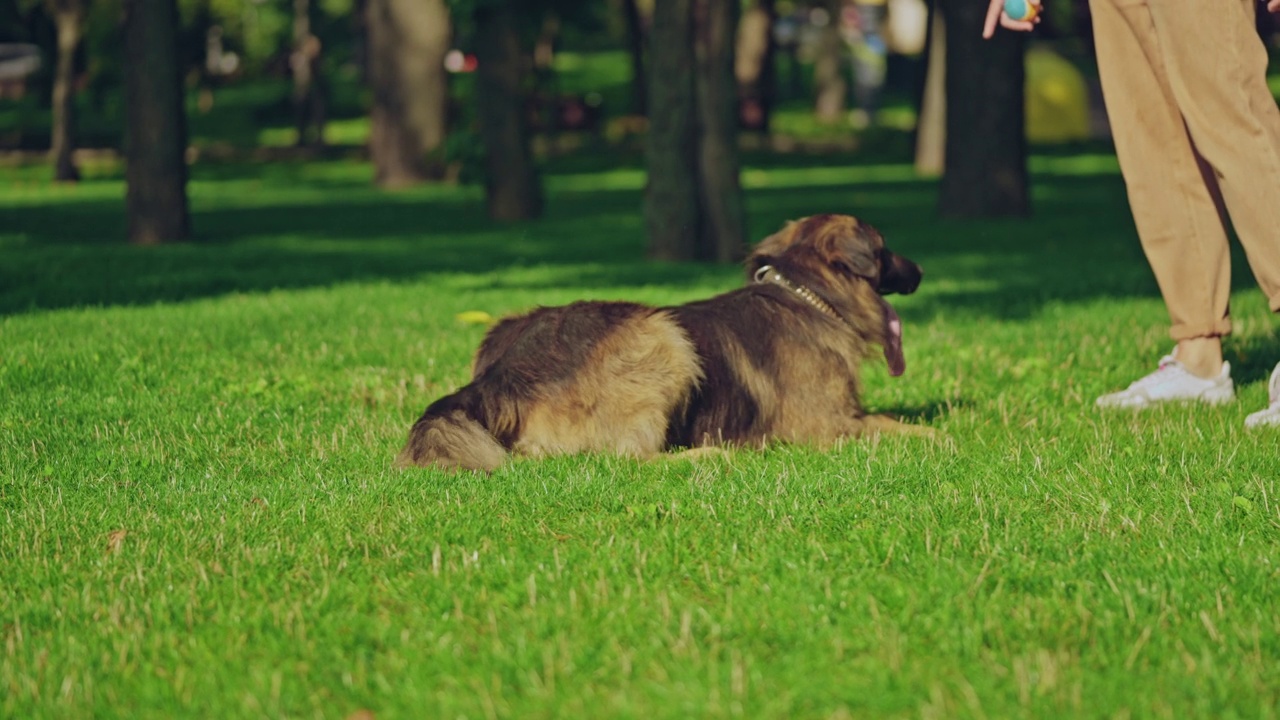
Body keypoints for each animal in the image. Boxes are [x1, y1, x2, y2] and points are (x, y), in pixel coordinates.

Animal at [394, 212, 926, 471]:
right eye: (885, 250)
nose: (920, 270)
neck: (806, 293)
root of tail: (503, 372)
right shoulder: (825, 425)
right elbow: (891, 422)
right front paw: (934, 436)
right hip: (664, 337)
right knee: (630, 458)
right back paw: (710, 456)